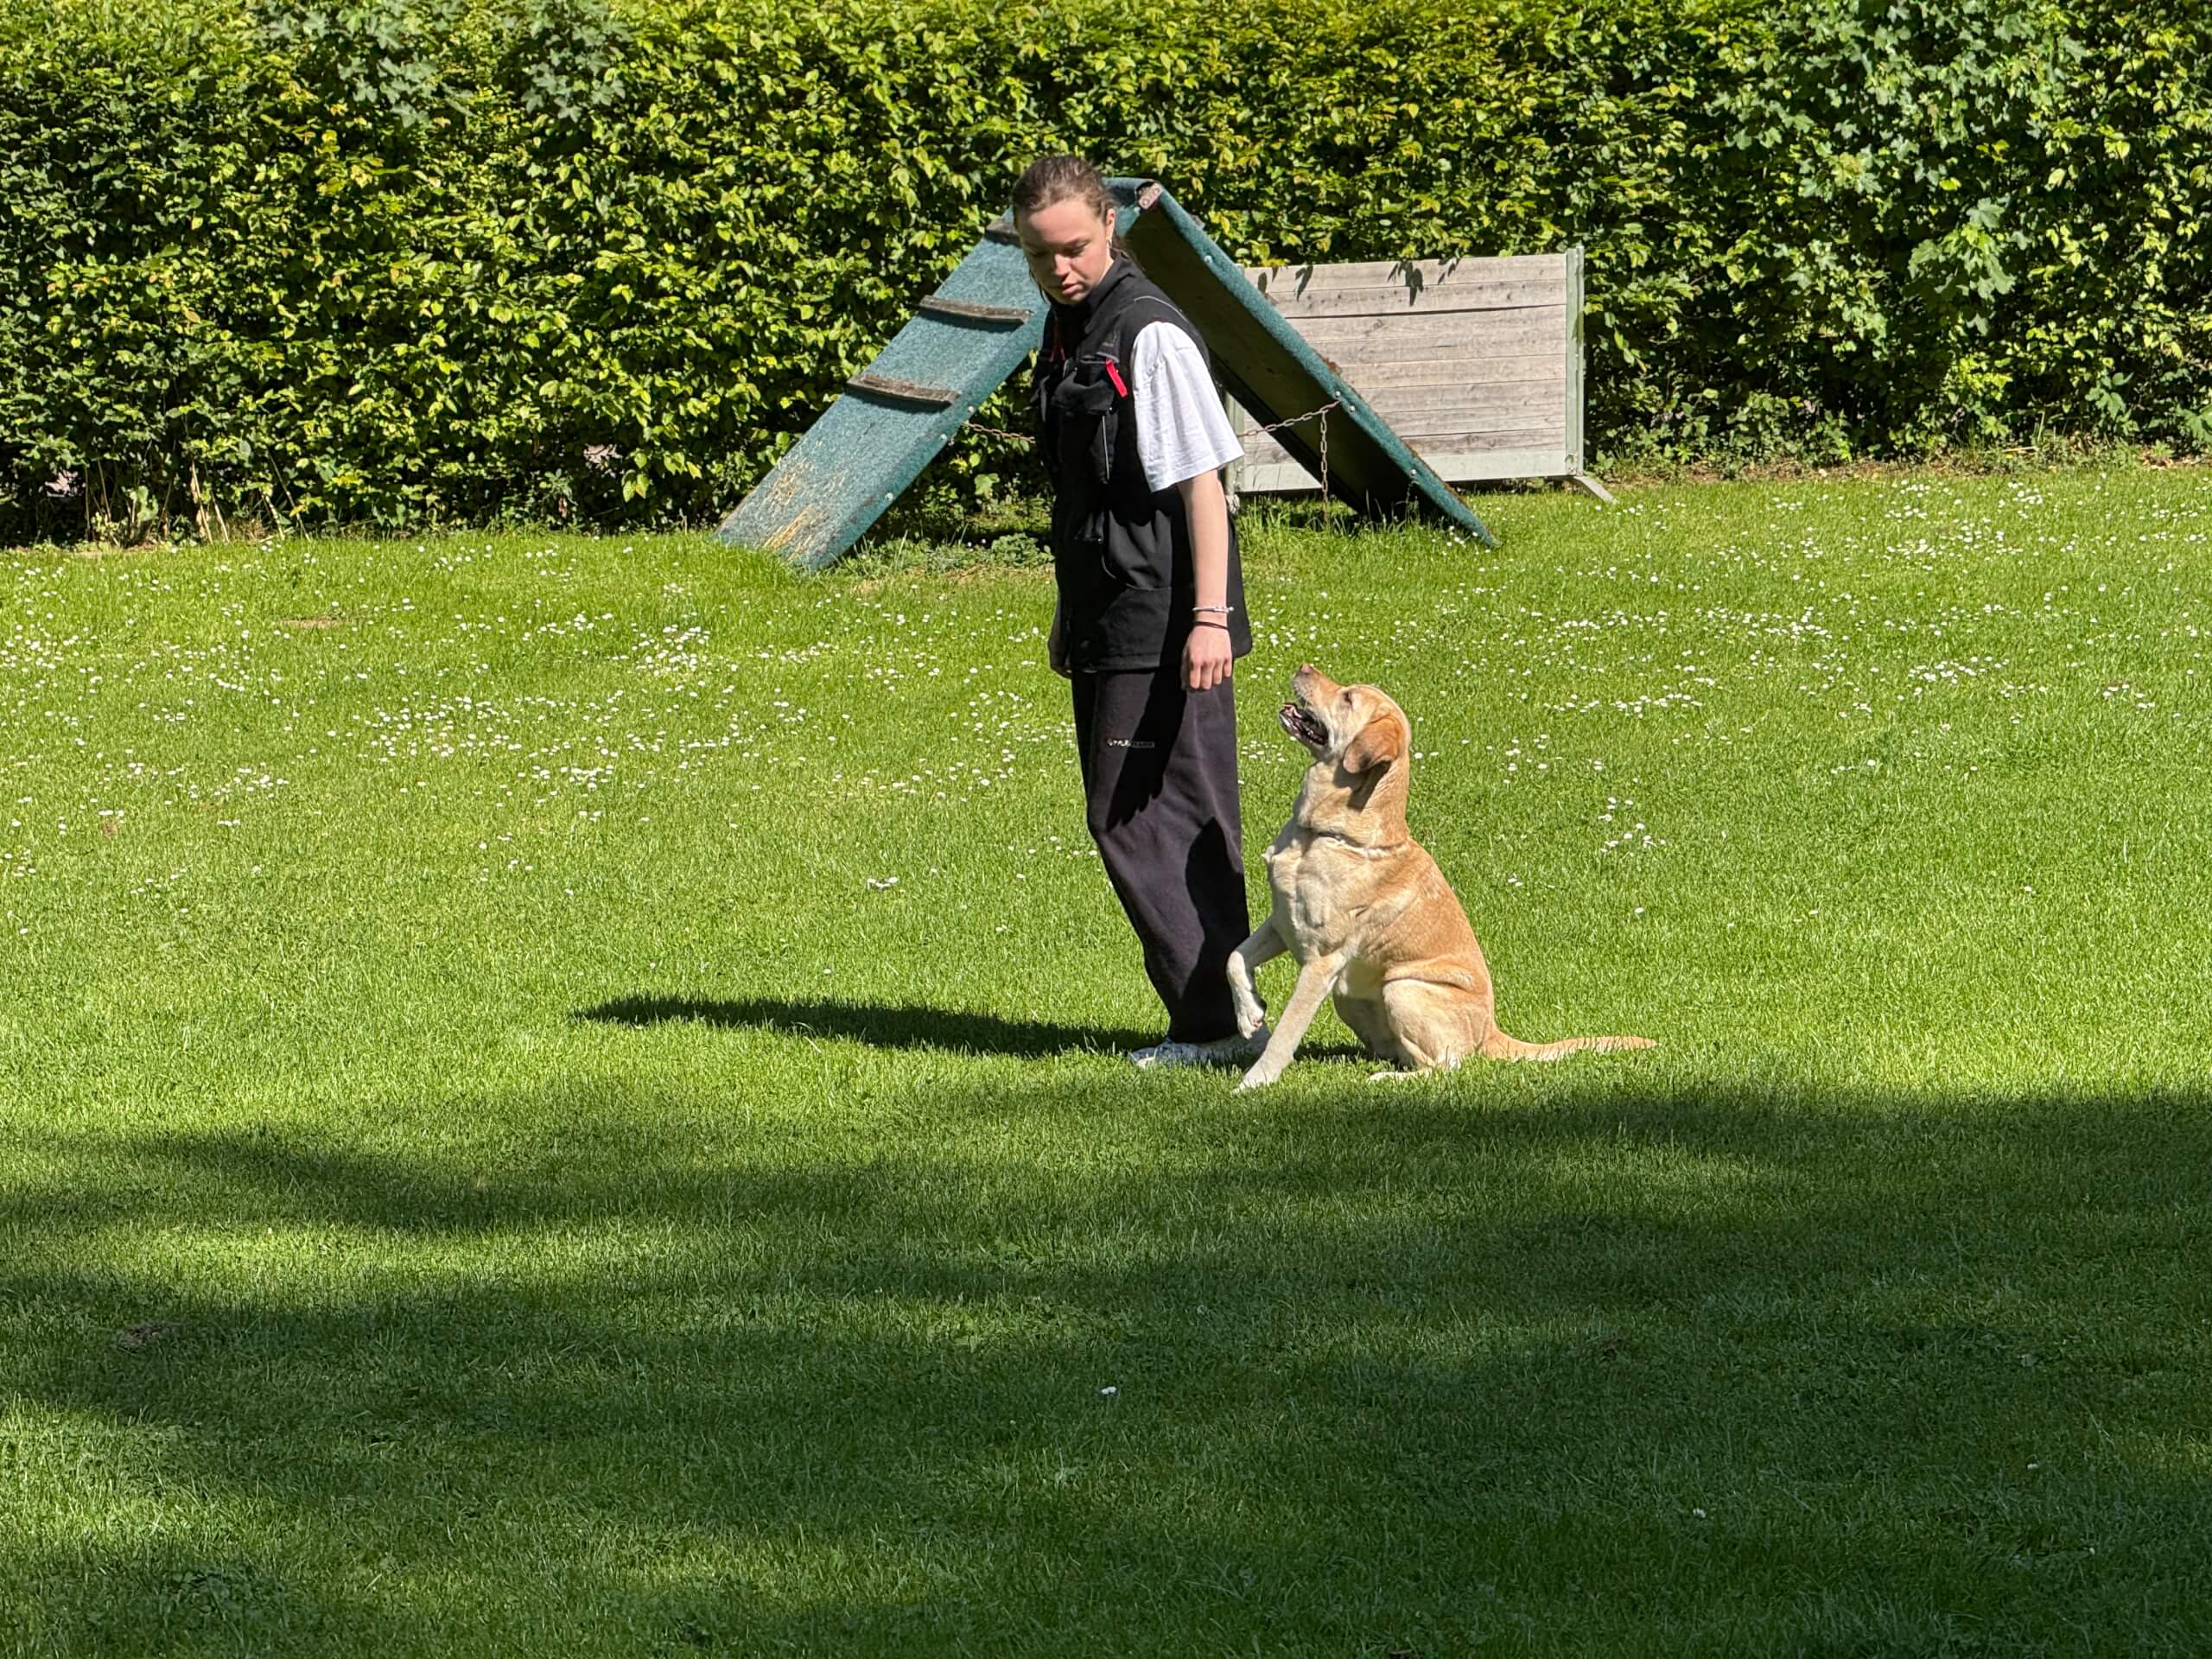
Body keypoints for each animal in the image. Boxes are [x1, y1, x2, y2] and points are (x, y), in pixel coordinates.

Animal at [1228, 665, 1654, 1089]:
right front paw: (1249, 1013)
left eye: (1348, 697)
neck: (1320, 833)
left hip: (1402, 988)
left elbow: (1286, 1032)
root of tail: (1490, 1032)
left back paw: (1384, 1079)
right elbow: (1235, 957)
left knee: (1444, 1066)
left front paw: (1253, 1083)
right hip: (1350, 998)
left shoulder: (1322, 959)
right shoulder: (1281, 920)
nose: (1304, 667)